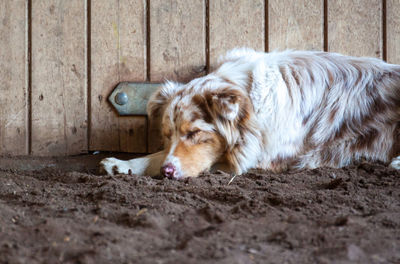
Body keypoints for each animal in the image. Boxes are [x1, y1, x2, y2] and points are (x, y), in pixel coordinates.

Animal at [99, 48, 400, 179]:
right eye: (166, 135)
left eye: (194, 133)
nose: (167, 172)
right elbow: (158, 155)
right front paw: (123, 164)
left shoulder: (265, 157)